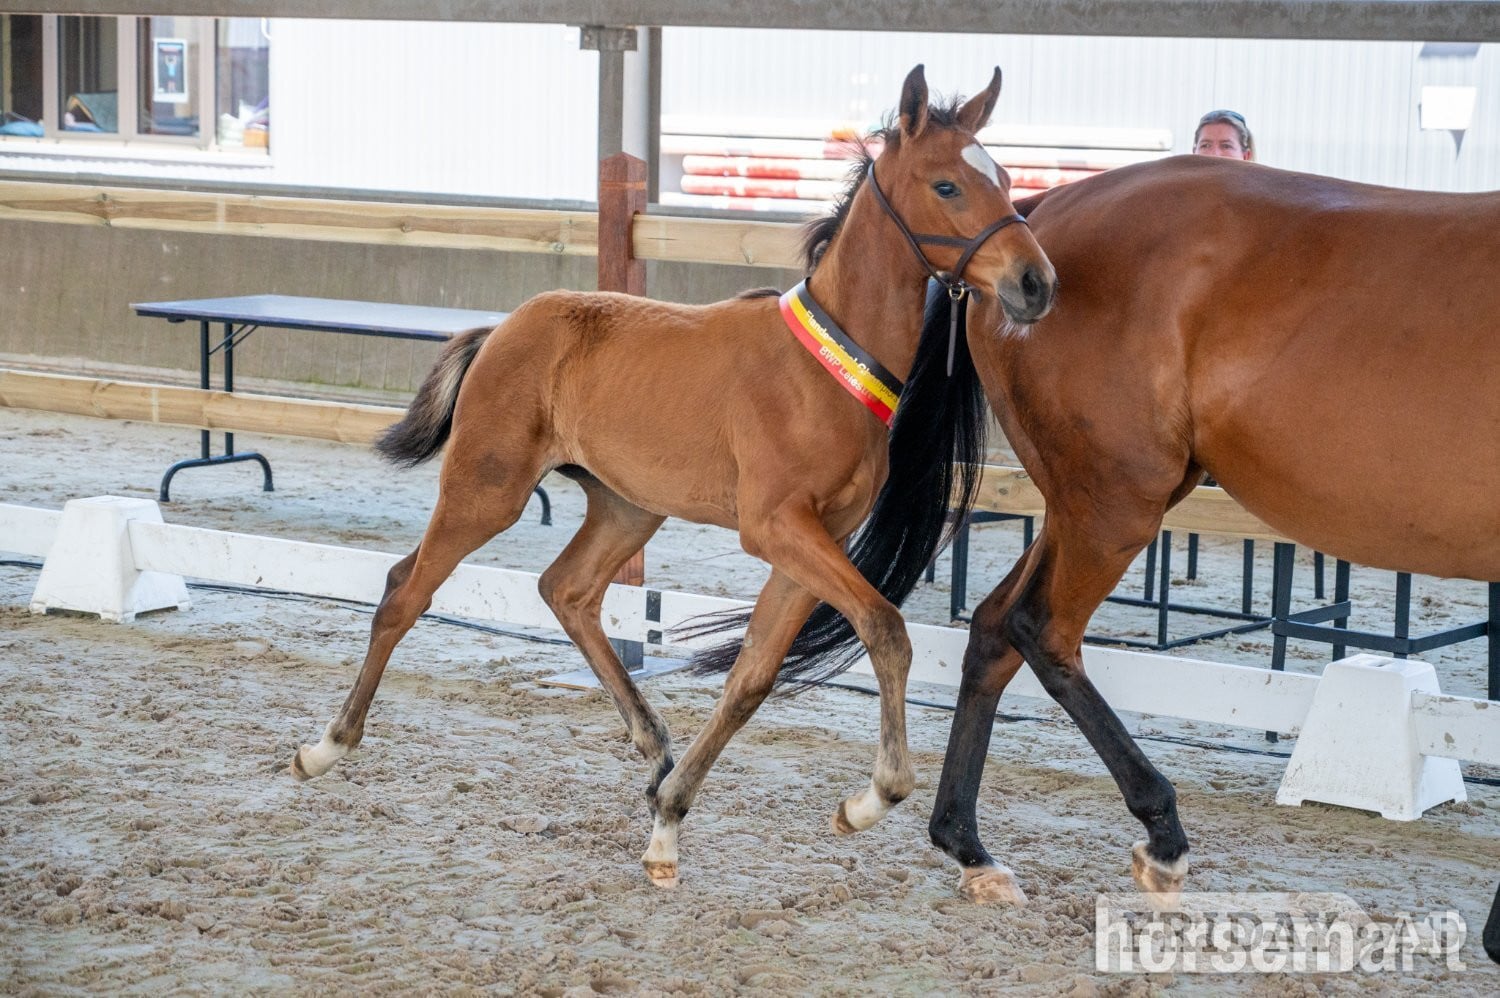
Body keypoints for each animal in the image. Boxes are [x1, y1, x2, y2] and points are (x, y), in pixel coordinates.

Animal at [287, 65, 1056, 888]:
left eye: (1006, 178)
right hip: (486, 489)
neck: (831, 367)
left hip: (628, 508)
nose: (1036, 282)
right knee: (407, 589)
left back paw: (654, 748)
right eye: (947, 185)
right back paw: (325, 746)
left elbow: (752, 677)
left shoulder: (814, 541)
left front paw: (668, 822)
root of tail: (501, 330)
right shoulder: (776, 527)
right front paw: (871, 799)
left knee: (567, 591)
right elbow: (885, 627)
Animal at [921, 153, 1500, 908]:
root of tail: (1033, 220)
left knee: (994, 628)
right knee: (1041, 632)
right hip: (1115, 502)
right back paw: (1162, 834)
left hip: (1082, 502)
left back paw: (968, 845)